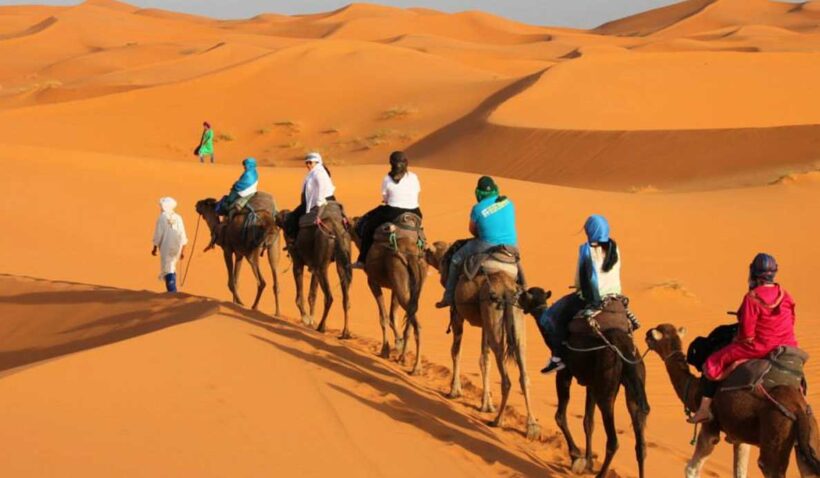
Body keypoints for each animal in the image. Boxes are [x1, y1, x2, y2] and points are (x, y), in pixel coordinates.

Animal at [278, 204, 350, 338]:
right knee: (346, 299)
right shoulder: (314, 267)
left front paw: (306, 319)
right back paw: (345, 333)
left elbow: (300, 296)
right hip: (341, 261)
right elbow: (312, 295)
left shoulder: (298, 263)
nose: (276, 217)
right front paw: (311, 320)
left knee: (329, 297)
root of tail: (336, 229)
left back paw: (321, 327)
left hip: (322, 266)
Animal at [350, 215, 426, 376]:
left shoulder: (372, 282)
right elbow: (393, 317)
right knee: (411, 318)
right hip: (413, 285)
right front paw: (398, 346)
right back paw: (404, 358)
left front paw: (385, 350)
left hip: (398, 274)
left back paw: (416, 368)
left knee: (416, 324)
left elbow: (383, 317)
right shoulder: (394, 288)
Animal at [426, 241, 540, 438]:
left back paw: (498, 420)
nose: (424, 251)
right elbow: (484, 360)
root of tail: (507, 289)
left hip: (491, 311)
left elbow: (456, 351)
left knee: (506, 377)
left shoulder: (457, 313)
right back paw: (531, 427)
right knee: (523, 372)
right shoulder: (485, 324)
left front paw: (454, 391)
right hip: (515, 319)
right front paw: (486, 404)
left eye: (431, 251)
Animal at [524, 288, 652, 478]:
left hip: (606, 389)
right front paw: (589, 462)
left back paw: (601, 474)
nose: (516, 297)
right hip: (635, 383)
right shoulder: (591, 385)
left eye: (525, 294)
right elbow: (588, 422)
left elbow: (560, 416)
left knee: (613, 440)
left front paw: (576, 456)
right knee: (641, 444)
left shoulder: (565, 372)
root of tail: (624, 348)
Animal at [648, 324, 820, 478]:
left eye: (652, 336)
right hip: (808, 438)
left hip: (775, 435)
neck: (694, 390)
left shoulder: (710, 427)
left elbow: (691, 469)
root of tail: (798, 408)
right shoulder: (740, 437)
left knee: (769, 466)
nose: (646, 334)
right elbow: (740, 471)